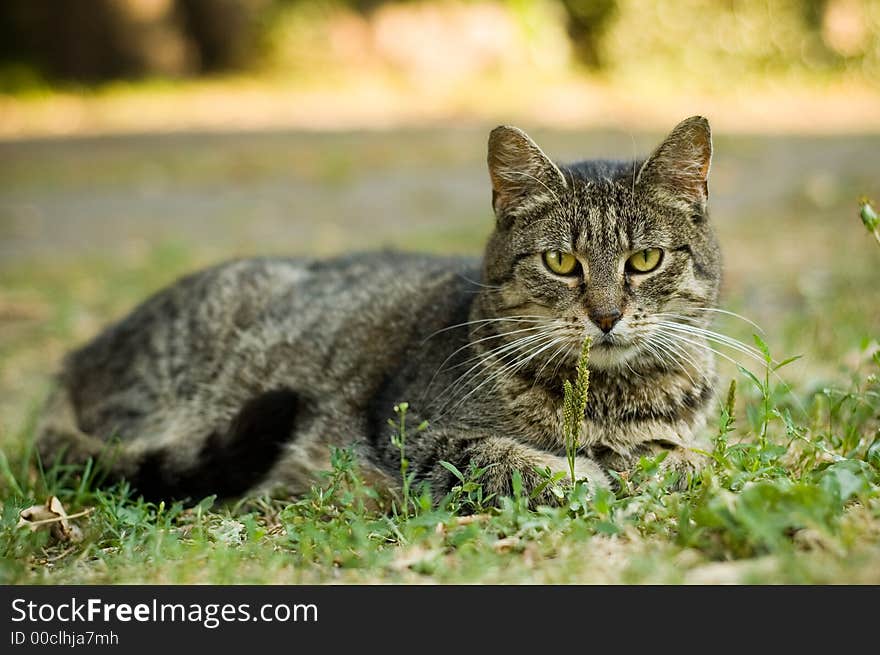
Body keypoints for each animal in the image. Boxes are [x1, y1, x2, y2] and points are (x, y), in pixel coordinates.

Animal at [36, 116, 720, 508]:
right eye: (560, 263)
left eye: (645, 260)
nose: (606, 317)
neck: (610, 396)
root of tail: (77, 357)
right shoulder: (411, 431)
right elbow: (497, 457)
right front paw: (571, 475)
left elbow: (681, 457)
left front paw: (659, 465)